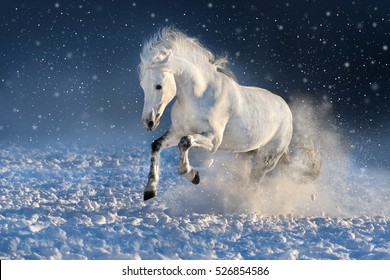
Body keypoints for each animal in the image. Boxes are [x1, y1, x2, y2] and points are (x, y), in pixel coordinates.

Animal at [139, 27, 292, 200]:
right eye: (142, 85)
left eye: (158, 86)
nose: (149, 122)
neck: (200, 95)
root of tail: (286, 109)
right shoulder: (178, 131)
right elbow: (157, 145)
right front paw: (150, 189)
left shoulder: (214, 140)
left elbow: (185, 142)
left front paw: (193, 175)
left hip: (266, 159)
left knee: (253, 184)